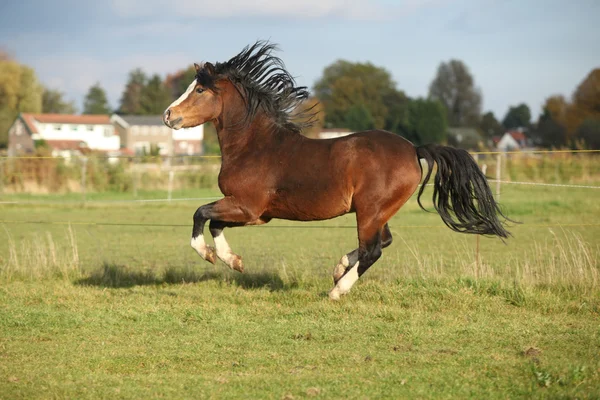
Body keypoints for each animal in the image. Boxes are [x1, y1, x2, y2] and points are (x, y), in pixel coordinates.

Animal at [164, 42, 510, 300]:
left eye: (199, 90)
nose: (168, 115)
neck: (256, 145)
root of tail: (414, 149)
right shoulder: (254, 214)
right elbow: (214, 223)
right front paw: (233, 261)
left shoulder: (247, 207)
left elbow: (200, 214)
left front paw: (210, 256)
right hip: (378, 212)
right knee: (382, 242)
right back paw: (339, 268)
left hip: (370, 210)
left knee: (373, 249)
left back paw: (337, 289)